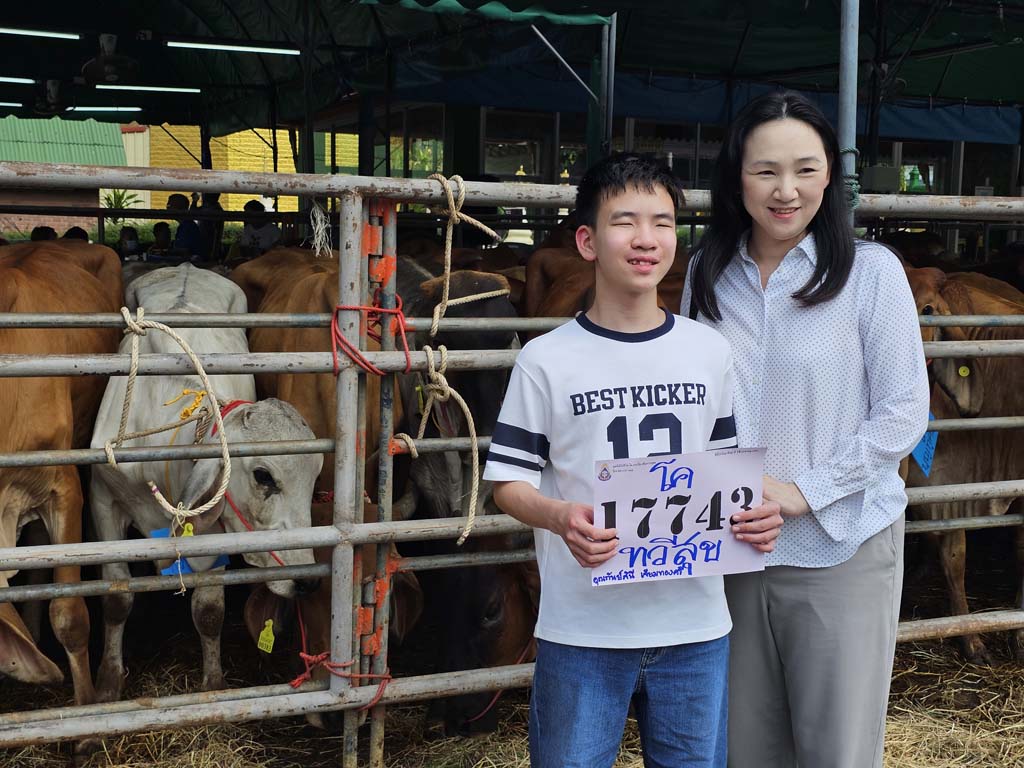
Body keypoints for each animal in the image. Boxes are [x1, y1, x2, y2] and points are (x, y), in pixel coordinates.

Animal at [88, 264, 322, 702]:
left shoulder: (213, 529)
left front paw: (213, 684)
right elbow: (117, 598)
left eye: (315, 477)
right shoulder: (103, 501)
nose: (308, 579)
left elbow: (209, 611)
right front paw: (107, 683)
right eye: (263, 475)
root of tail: (185, 267)